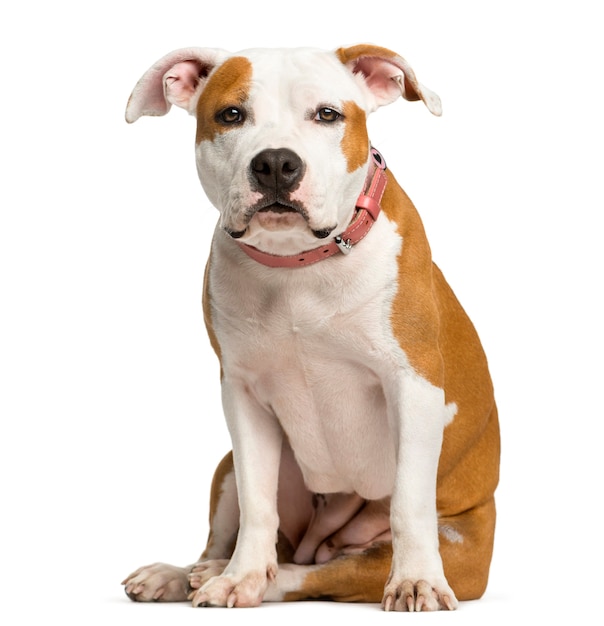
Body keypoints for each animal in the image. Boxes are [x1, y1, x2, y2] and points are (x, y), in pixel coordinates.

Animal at [121, 44, 500, 608]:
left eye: (327, 114)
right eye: (231, 114)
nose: (276, 163)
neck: (297, 266)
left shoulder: (413, 385)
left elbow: (409, 501)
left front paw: (417, 581)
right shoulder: (243, 395)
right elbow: (257, 502)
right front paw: (240, 576)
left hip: (456, 546)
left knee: (326, 572)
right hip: (226, 467)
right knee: (257, 541)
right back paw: (193, 572)